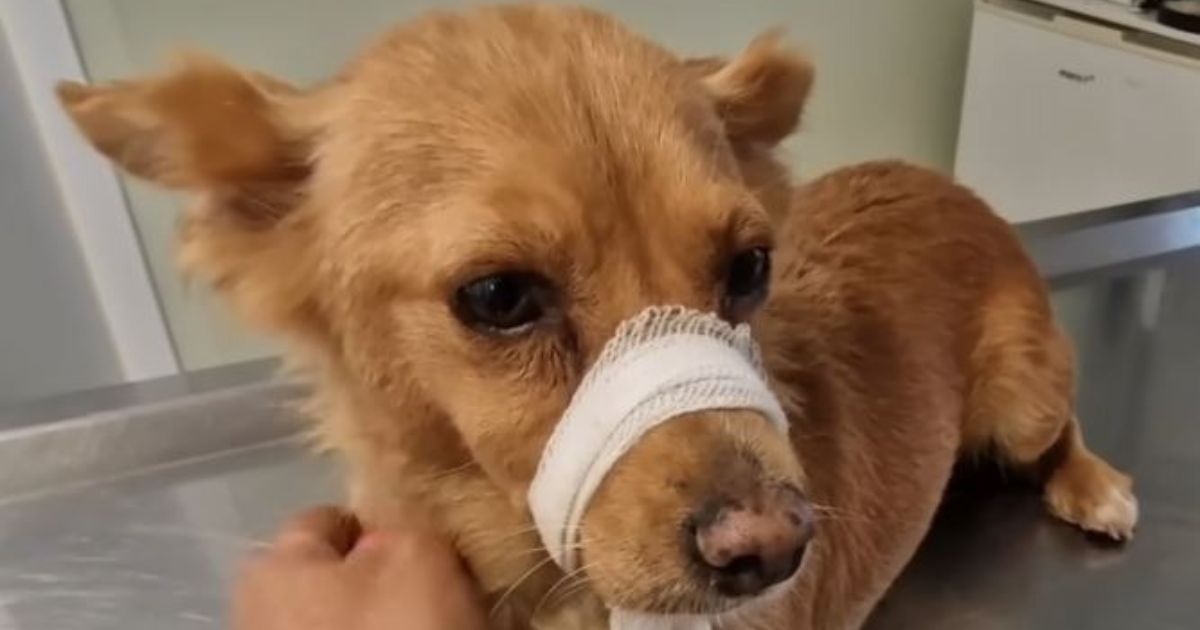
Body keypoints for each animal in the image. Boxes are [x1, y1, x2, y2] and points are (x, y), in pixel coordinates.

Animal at [58, 6, 1132, 628]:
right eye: (498, 297)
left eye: (750, 267)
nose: (776, 549)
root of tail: (941, 182)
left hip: (1021, 399)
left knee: (1063, 421)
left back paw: (1094, 486)